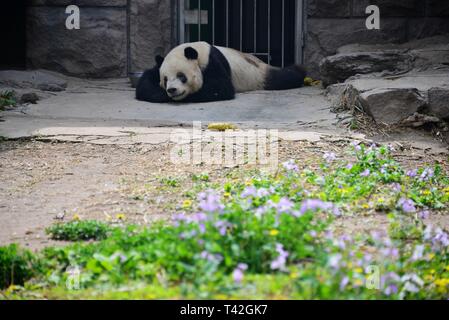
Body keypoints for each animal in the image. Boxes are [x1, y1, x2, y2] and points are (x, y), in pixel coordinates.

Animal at [135, 41, 306, 103]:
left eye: (181, 76)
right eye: (165, 79)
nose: (172, 90)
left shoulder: (212, 61)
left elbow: (220, 88)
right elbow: (146, 81)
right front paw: (160, 94)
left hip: (258, 75)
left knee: (285, 77)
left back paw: (298, 70)